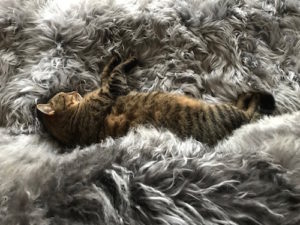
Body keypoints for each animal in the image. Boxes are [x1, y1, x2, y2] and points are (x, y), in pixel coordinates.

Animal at [36, 55, 276, 146]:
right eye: (66, 96)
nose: (74, 91)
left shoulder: (109, 88)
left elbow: (106, 72)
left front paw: (114, 58)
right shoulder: (112, 90)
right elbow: (115, 73)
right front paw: (129, 60)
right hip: (224, 112)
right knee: (250, 109)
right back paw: (254, 96)